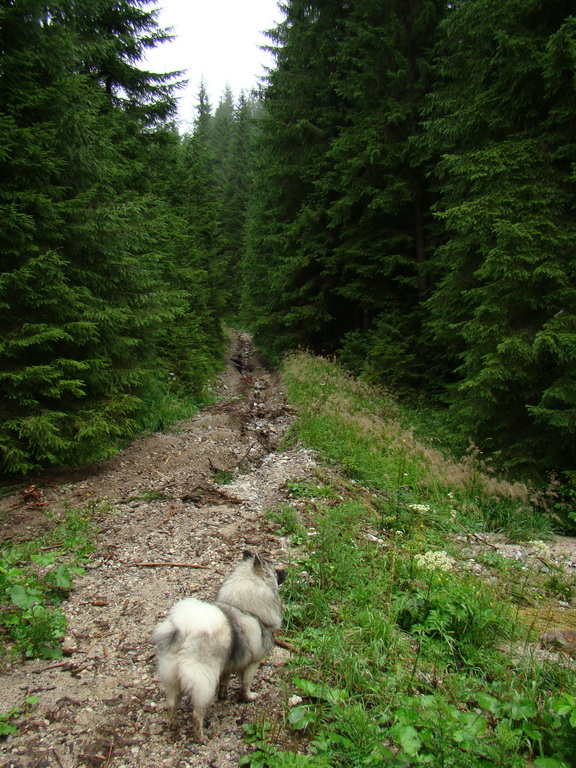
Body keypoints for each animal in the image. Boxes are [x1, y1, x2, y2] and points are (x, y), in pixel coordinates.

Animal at [151, 548, 286, 740]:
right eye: (275, 571)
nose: (286, 571)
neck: (248, 609)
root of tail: (184, 632)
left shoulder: (227, 666)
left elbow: (225, 681)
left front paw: (223, 696)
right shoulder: (253, 663)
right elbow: (246, 683)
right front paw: (249, 696)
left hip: (171, 678)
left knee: (171, 705)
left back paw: (172, 725)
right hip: (204, 683)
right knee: (196, 714)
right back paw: (200, 737)